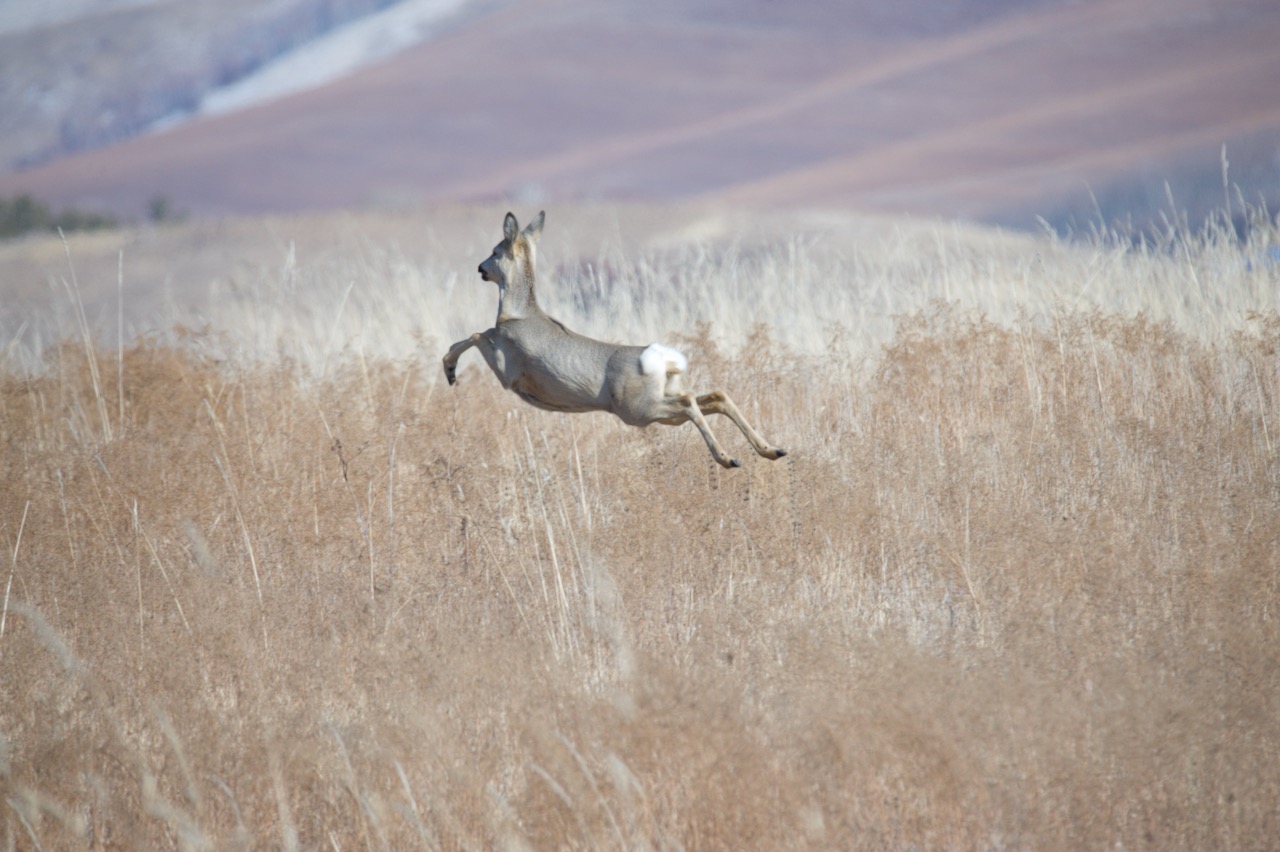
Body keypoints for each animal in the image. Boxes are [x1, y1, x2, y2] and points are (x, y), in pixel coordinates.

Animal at [450, 209, 788, 468]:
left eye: (495, 251)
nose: (480, 268)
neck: (518, 312)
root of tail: (662, 361)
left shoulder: (506, 369)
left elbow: (474, 334)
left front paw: (449, 372)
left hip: (639, 410)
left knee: (690, 402)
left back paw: (728, 458)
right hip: (655, 407)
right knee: (714, 395)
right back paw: (771, 450)